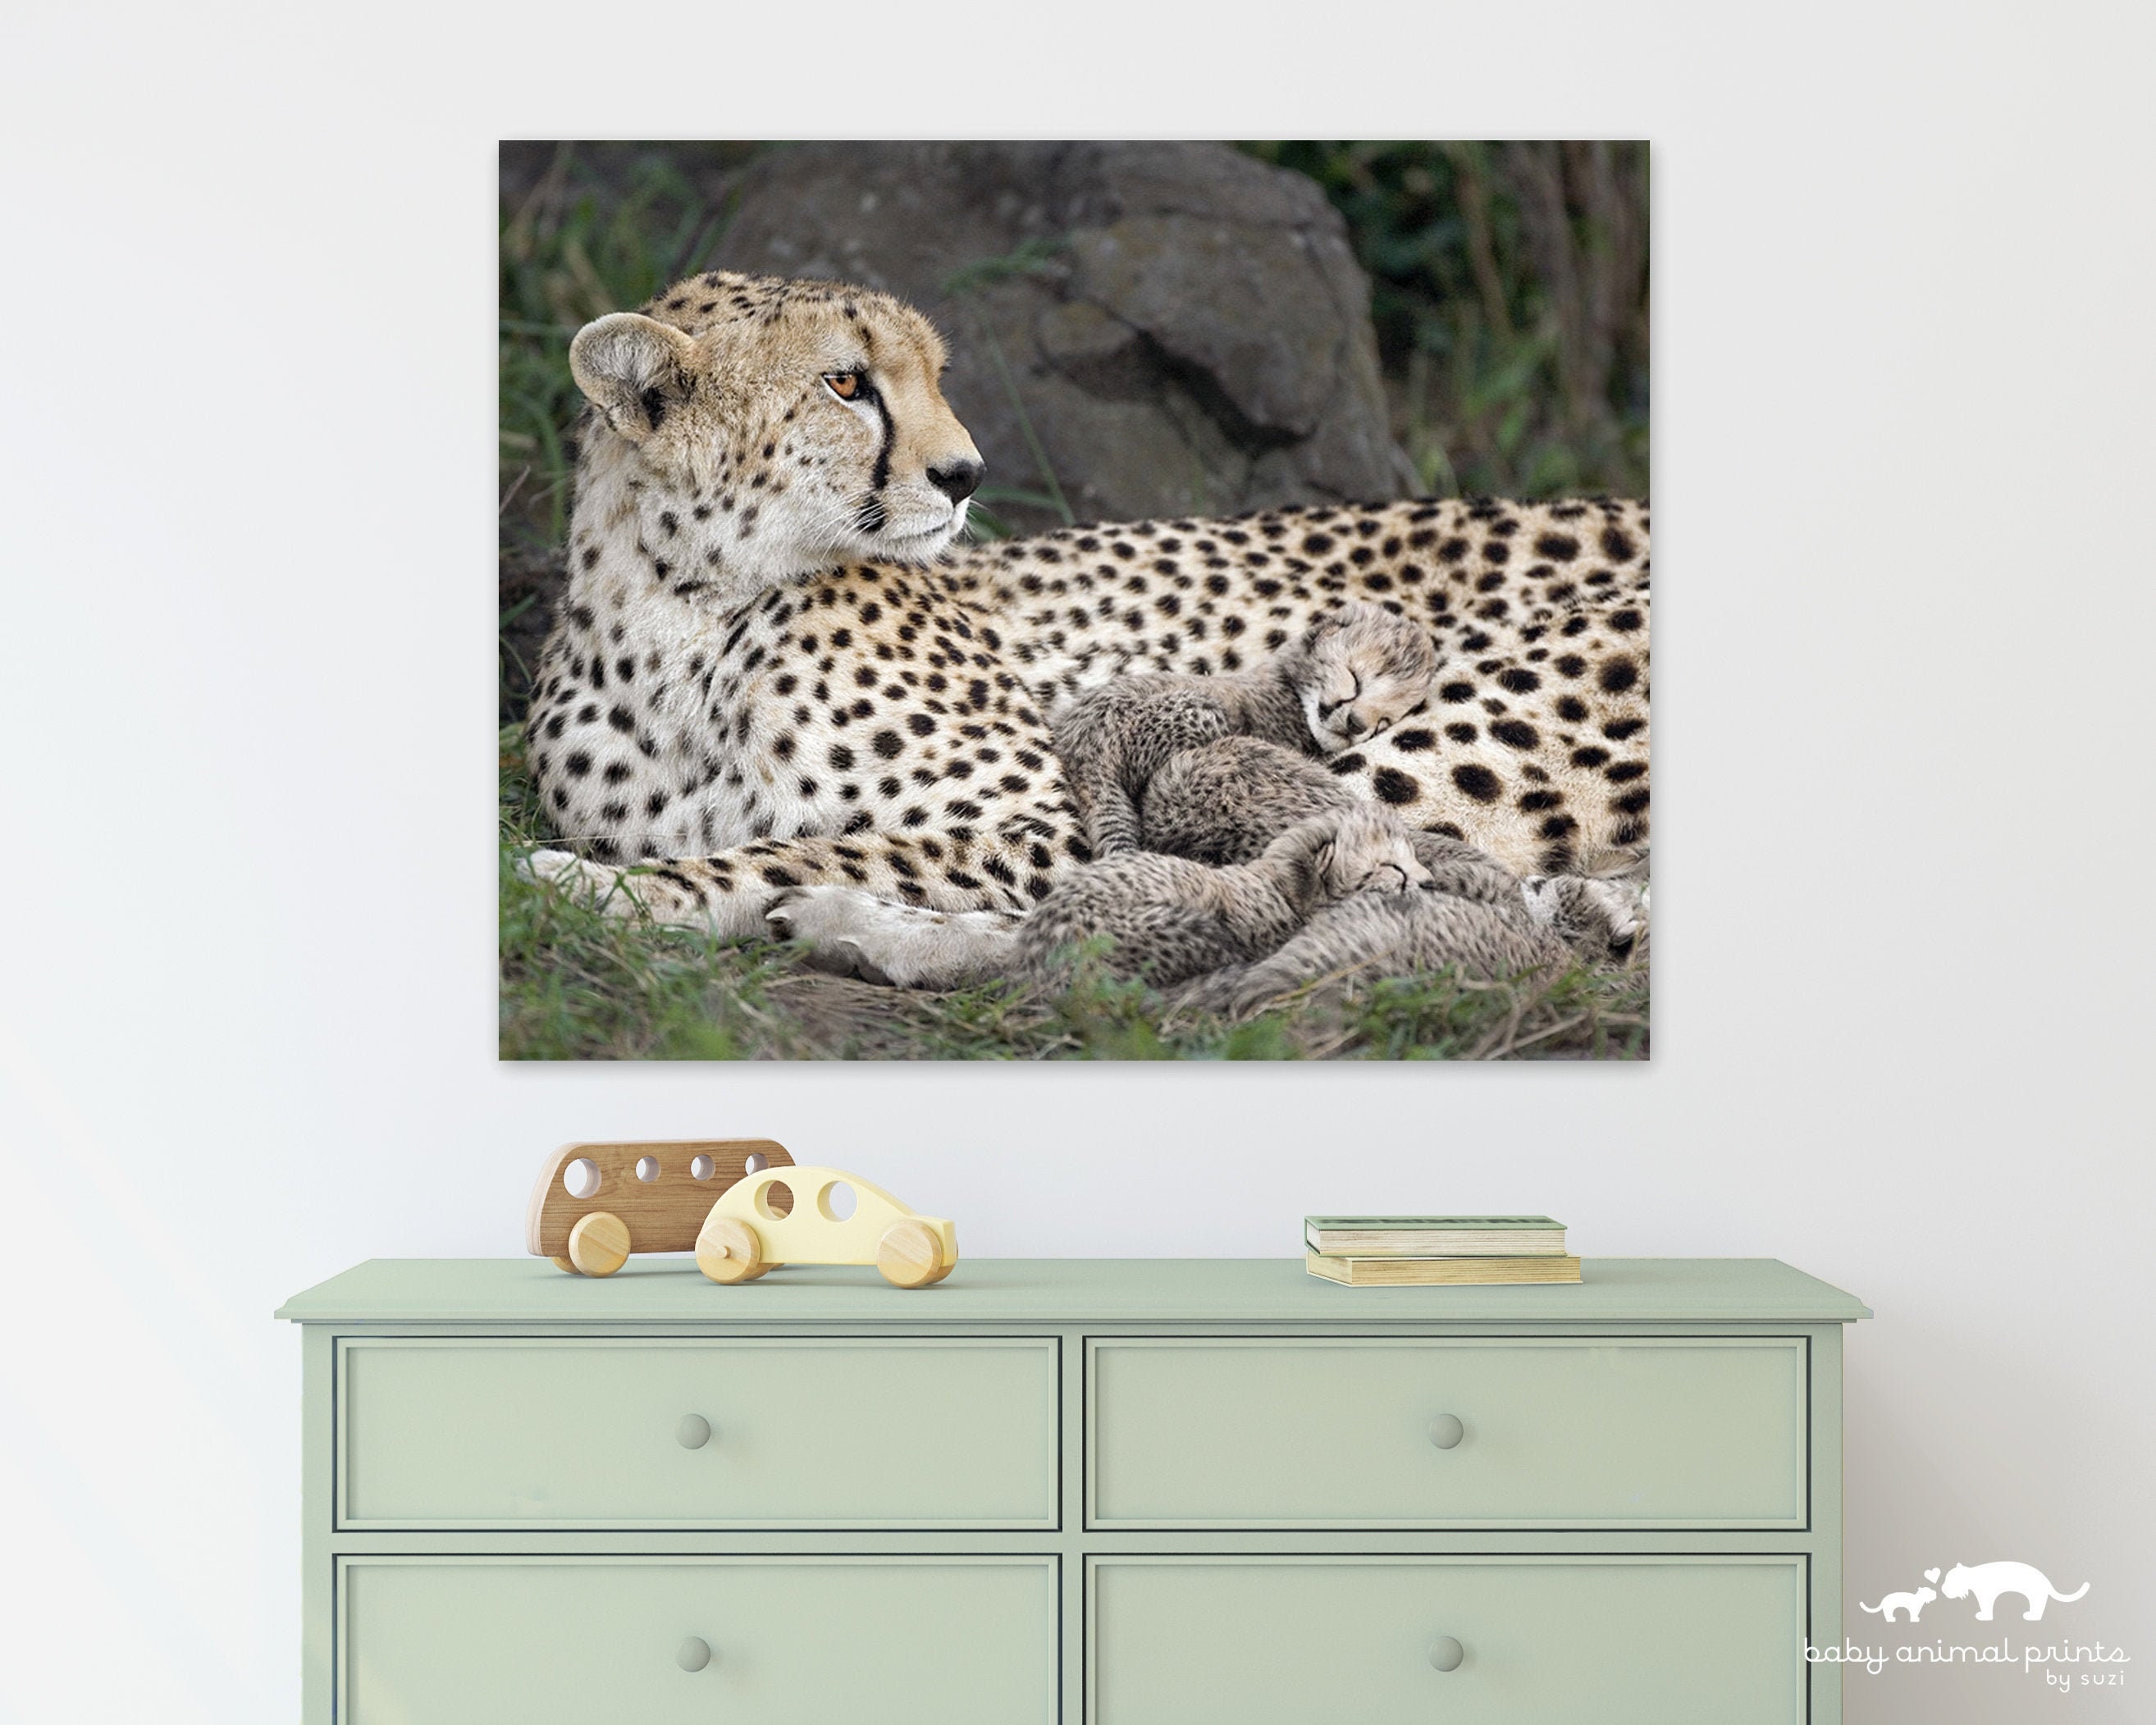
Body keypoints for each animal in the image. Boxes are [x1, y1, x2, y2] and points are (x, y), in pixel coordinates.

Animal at [1050, 599, 1436, 856]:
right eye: (1355, 679)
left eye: (1384, 721)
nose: (1357, 724)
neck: (1290, 687)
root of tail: (1078, 740)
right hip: (1201, 714)